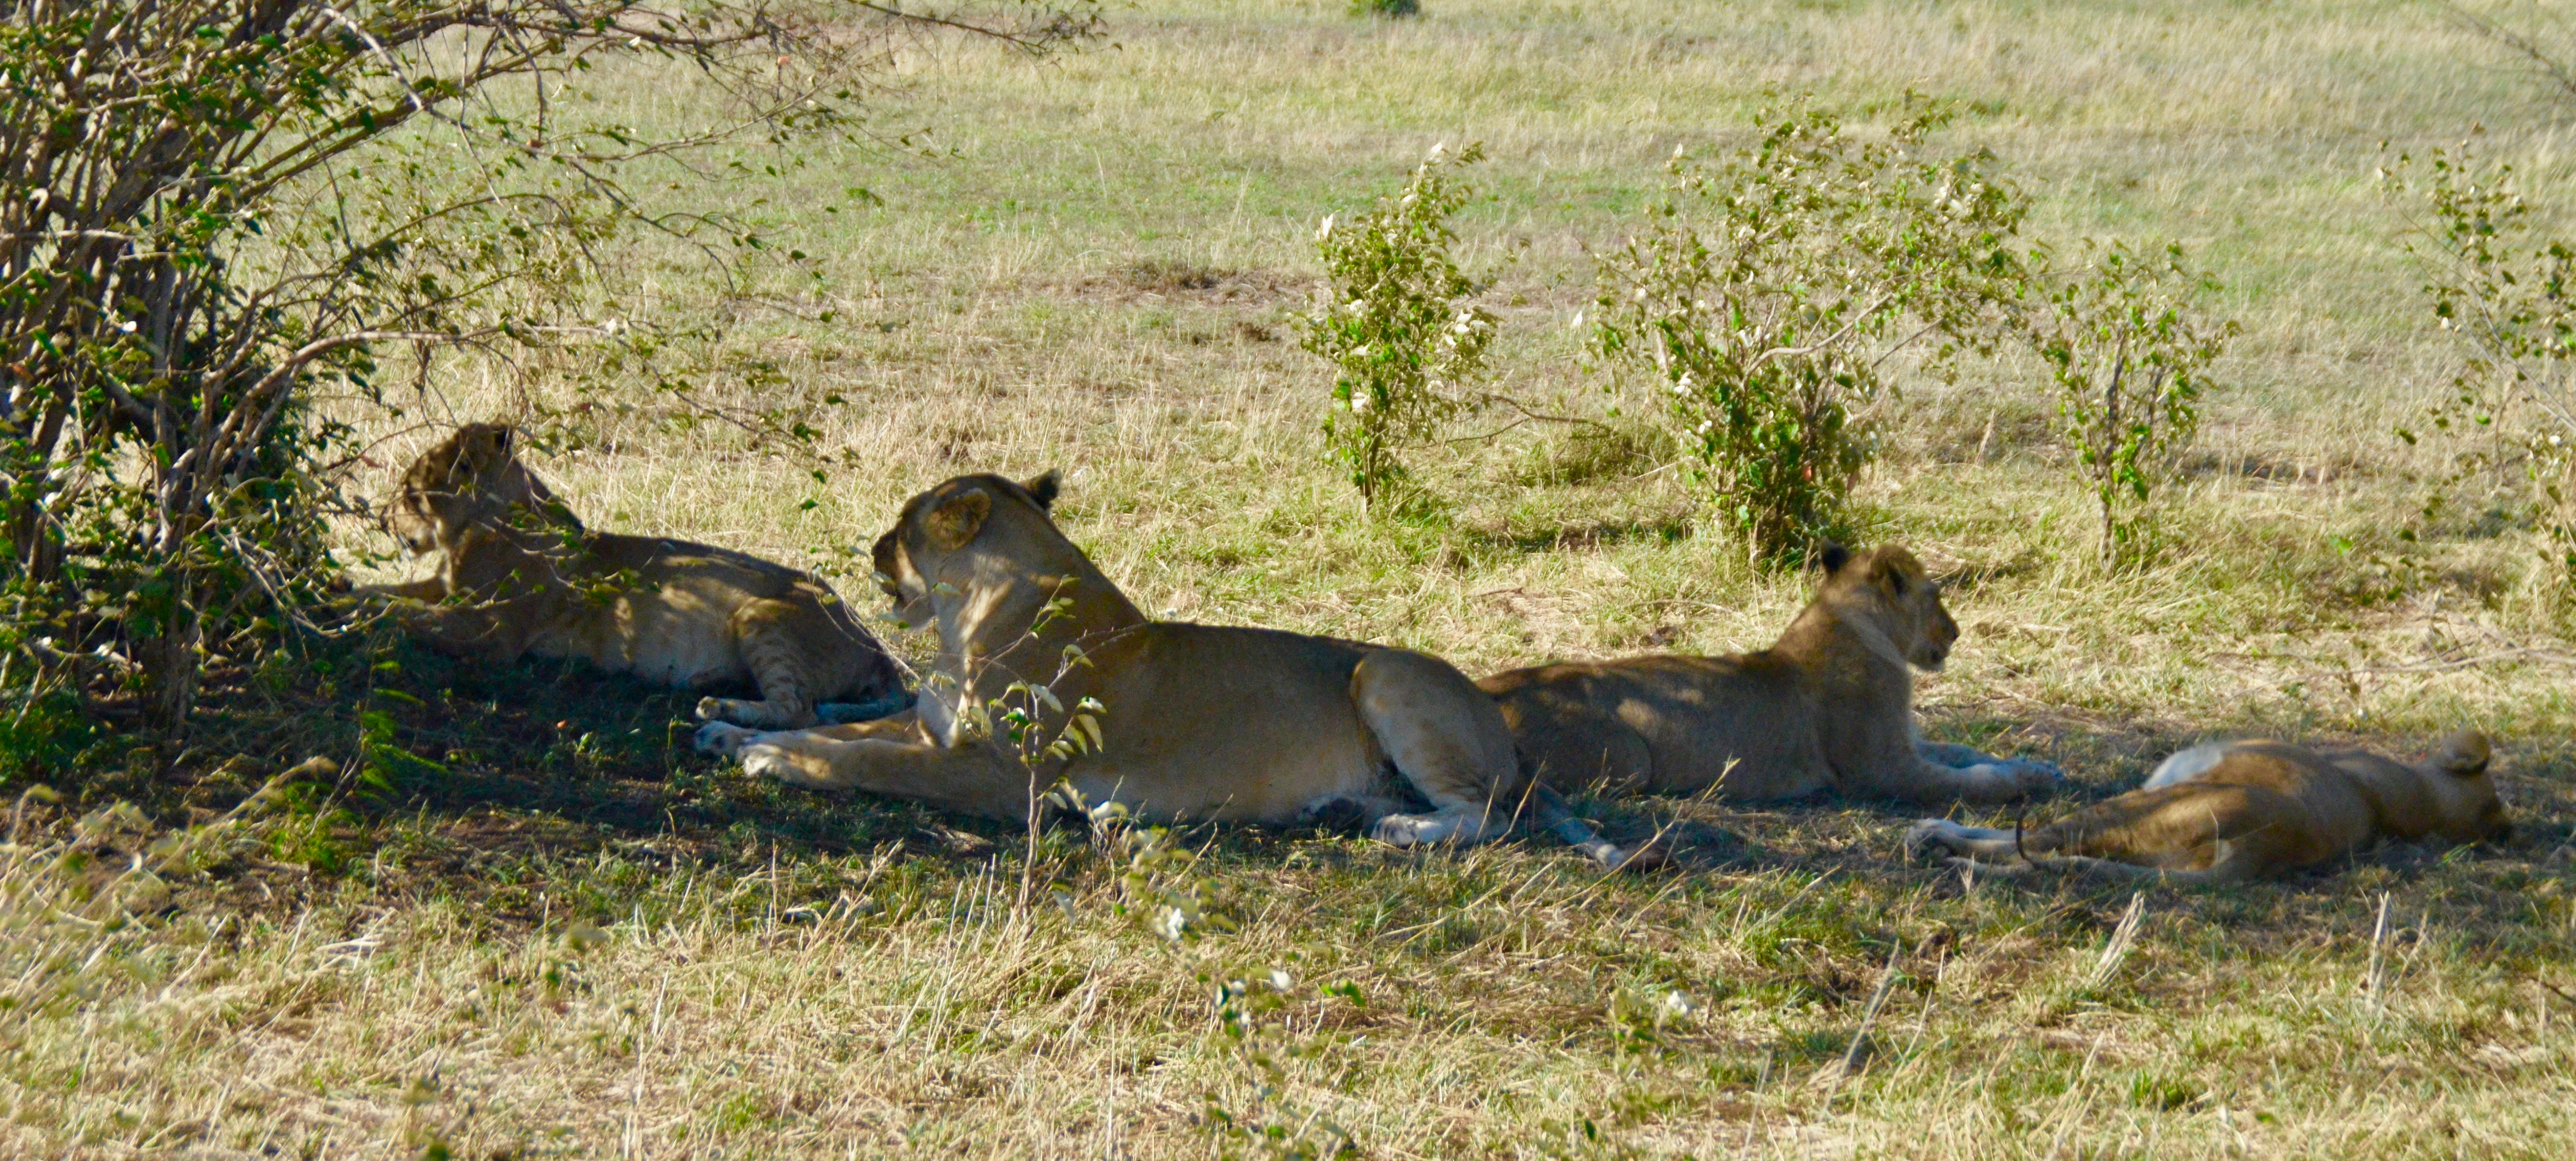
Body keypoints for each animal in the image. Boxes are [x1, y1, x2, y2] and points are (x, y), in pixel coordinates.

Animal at [358, 427, 906, 726]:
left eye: (408, 491)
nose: (382, 522)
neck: (469, 532)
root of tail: (878, 648)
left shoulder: (495, 632)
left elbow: (408, 614)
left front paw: (355, 618)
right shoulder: (448, 588)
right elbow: (391, 592)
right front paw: (344, 590)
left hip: (762, 614)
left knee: (799, 708)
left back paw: (718, 707)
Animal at [690, 468, 1648, 870]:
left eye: (903, 526)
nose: (872, 547)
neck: (967, 624)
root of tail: (1505, 739)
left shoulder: (1004, 782)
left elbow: (861, 756)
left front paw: (765, 756)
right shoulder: (933, 729)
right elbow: (850, 728)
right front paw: (729, 727)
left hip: (1383, 676)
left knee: (1487, 816)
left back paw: (1402, 830)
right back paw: (1348, 808)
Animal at [1484, 546, 2061, 808]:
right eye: (1936, 595)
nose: (1957, 632)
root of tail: (1488, 689)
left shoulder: (1908, 743)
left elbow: (1968, 753)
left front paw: (2039, 766)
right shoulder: (1880, 770)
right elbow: (1971, 780)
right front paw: (2024, 781)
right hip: (1628, 762)